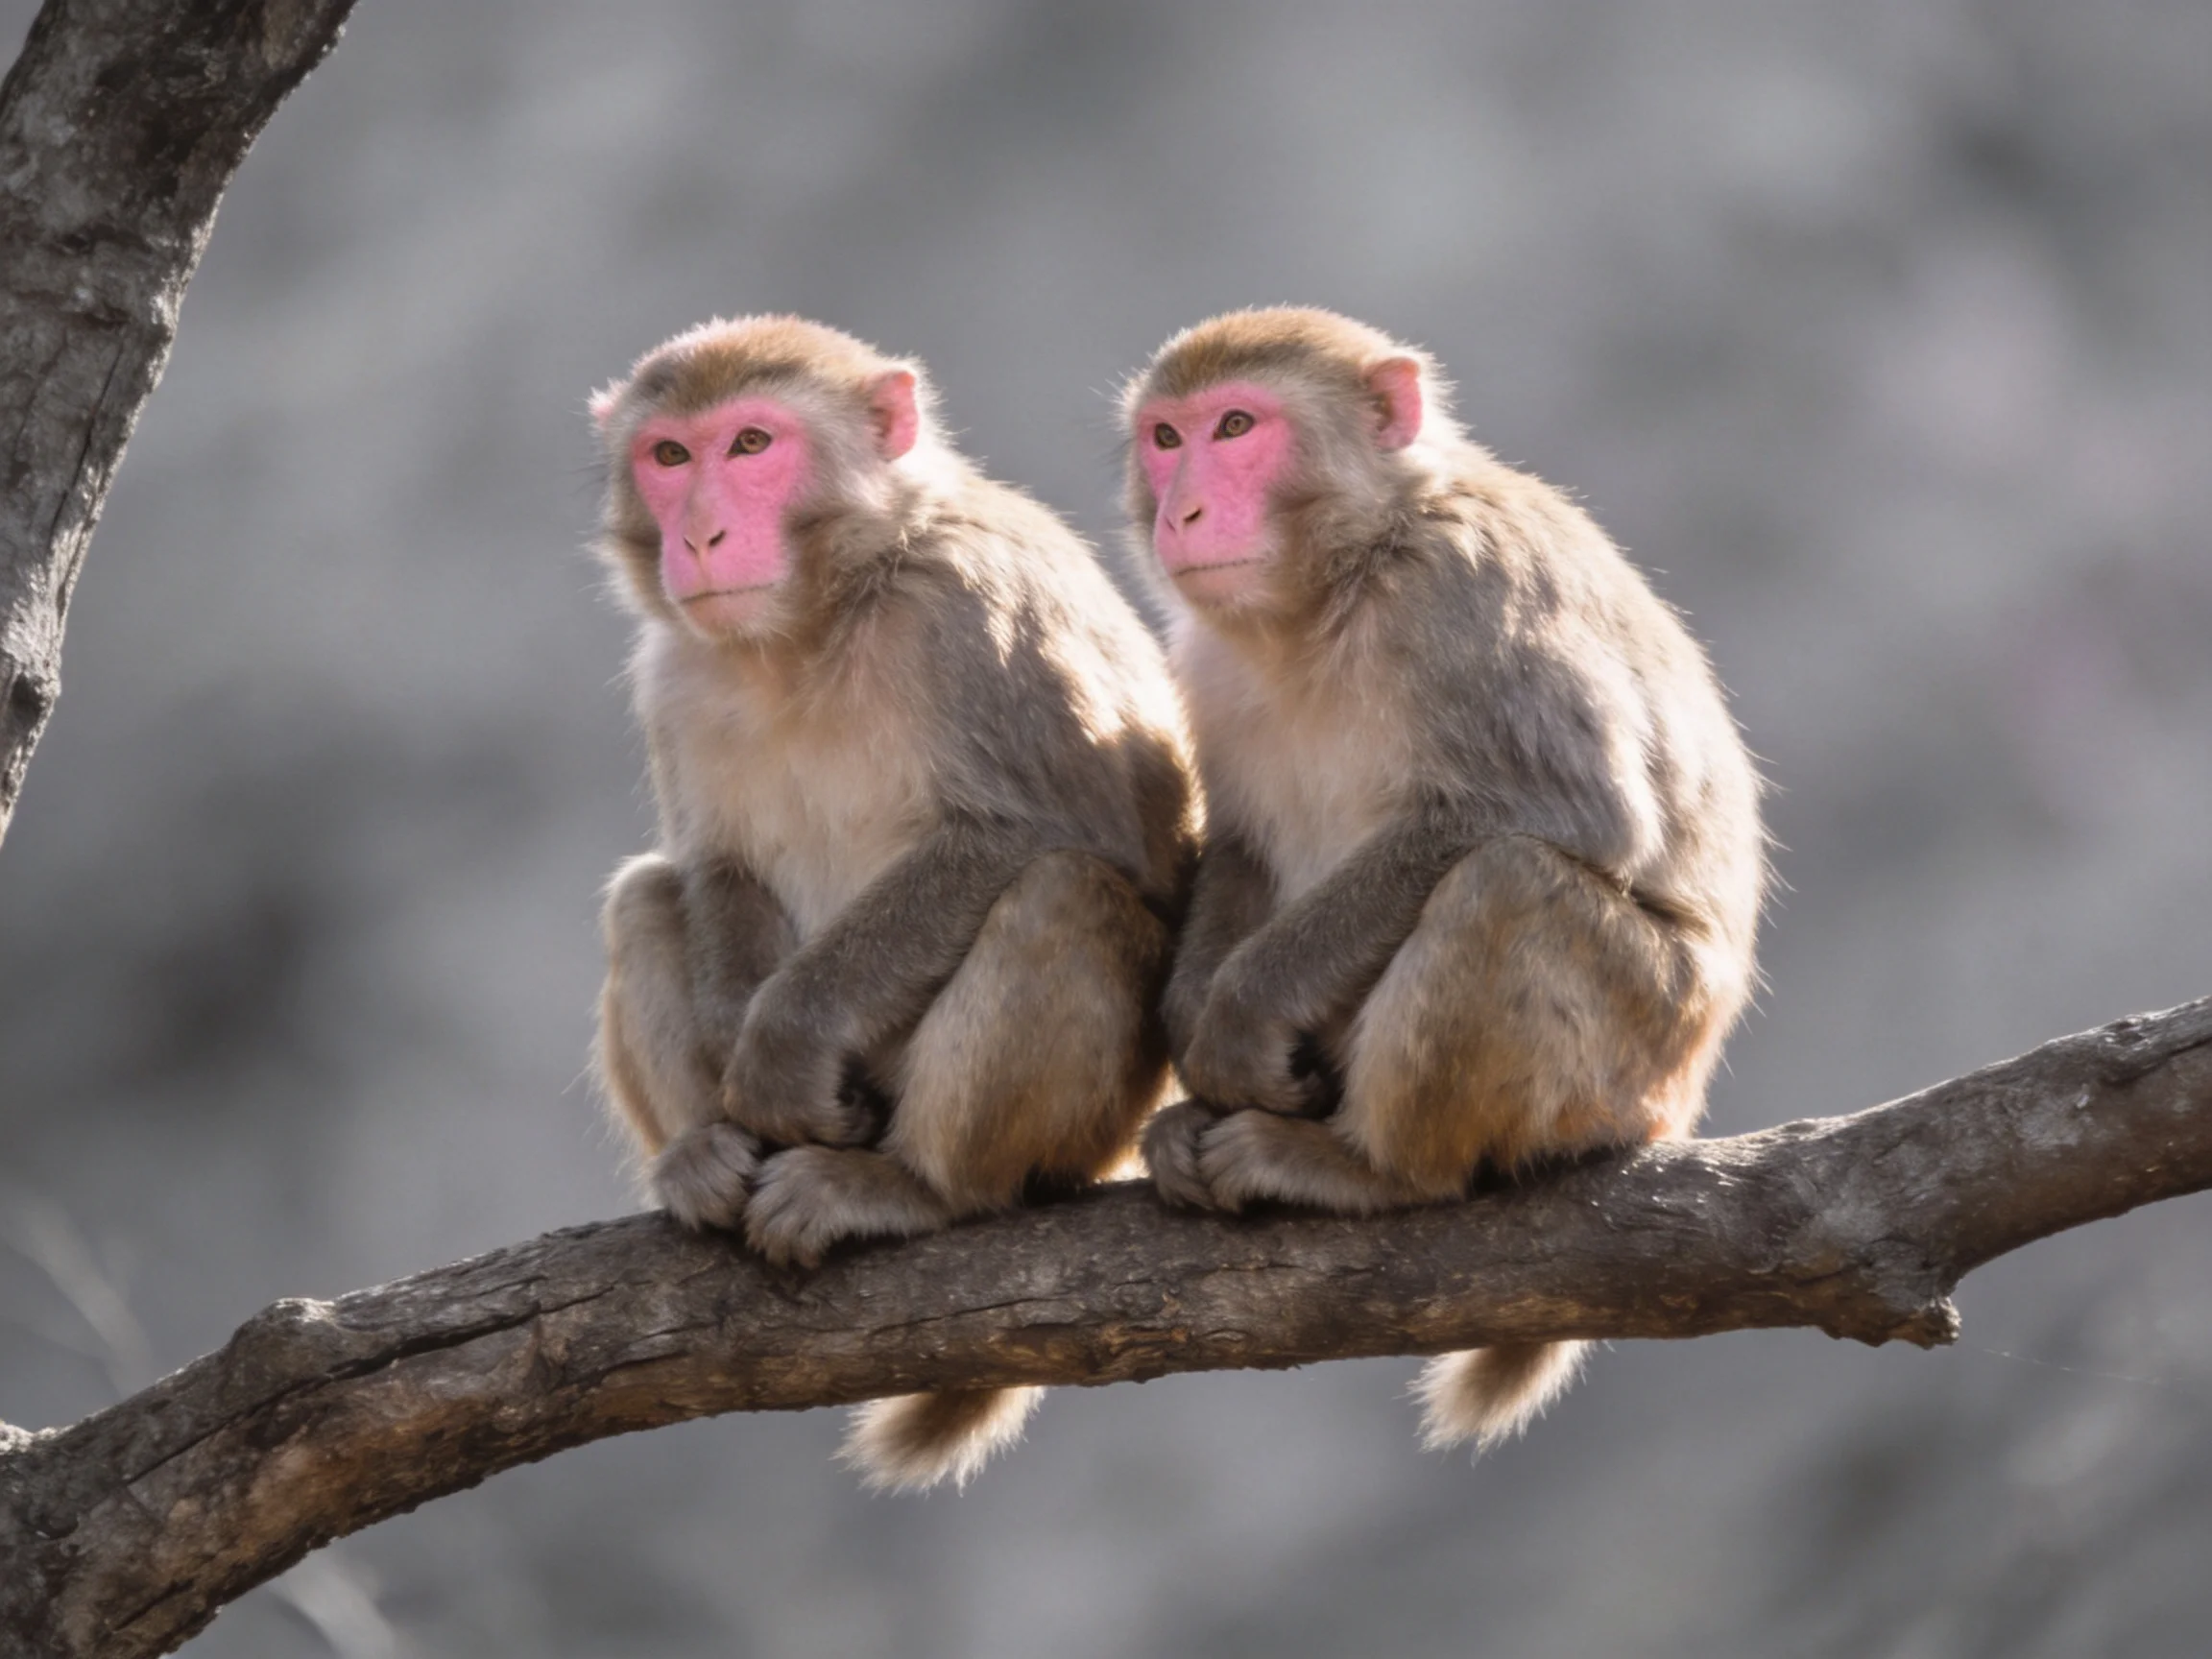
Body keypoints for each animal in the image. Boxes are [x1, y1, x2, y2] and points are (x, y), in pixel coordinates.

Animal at [590, 315, 1198, 1490]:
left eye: (751, 444)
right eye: (670, 456)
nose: (703, 533)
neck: (812, 625)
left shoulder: (975, 616)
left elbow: (1046, 832)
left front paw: (783, 1048)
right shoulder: (672, 674)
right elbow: (714, 867)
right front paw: (738, 1060)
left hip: (1090, 1127)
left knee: (1061, 895)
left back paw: (918, 1189)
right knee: (645, 896)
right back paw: (700, 1158)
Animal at [1121, 308, 1763, 1452]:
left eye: (1236, 426)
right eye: (1165, 437)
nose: (1182, 509)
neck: (1345, 577)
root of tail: (1675, 1105)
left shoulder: (1464, 595)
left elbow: (1556, 810)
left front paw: (1239, 1018)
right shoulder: (1208, 660)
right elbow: (1242, 845)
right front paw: (1198, 1035)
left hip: (1633, 1050)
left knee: (1504, 886)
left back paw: (1373, 1174)